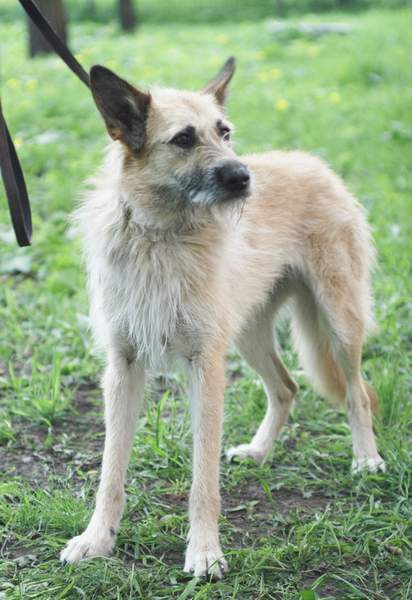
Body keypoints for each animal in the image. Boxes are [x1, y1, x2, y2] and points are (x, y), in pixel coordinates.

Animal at [60, 57, 385, 578]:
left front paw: (204, 551)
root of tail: (312, 162)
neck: (162, 236)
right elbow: (110, 471)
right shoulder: (123, 368)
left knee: (356, 392)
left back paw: (366, 459)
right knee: (286, 388)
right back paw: (259, 451)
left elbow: (202, 477)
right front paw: (97, 540)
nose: (244, 177)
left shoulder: (205, 366)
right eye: (183, 139)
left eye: (224, 132)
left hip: (340, 322)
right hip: (249, 335)